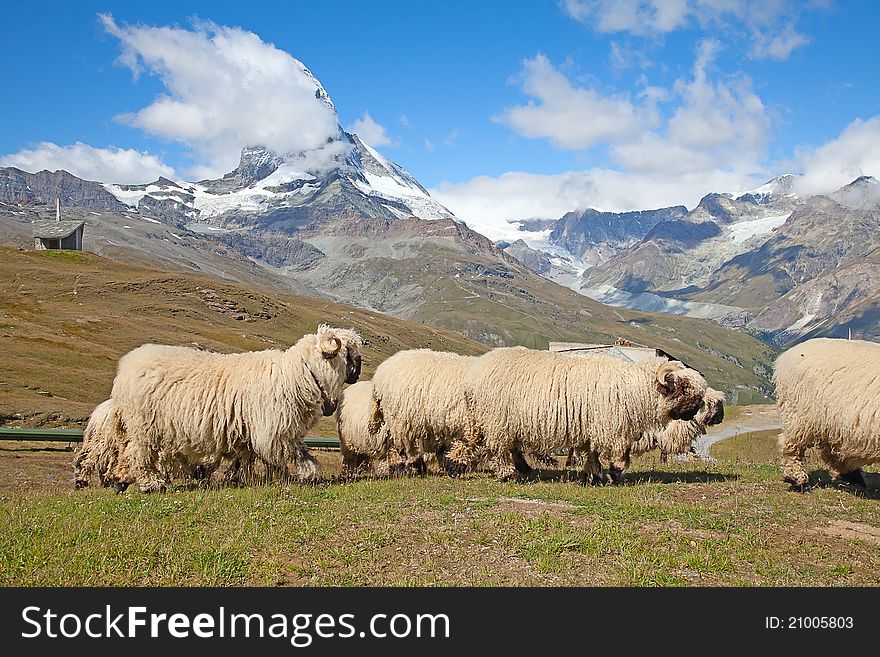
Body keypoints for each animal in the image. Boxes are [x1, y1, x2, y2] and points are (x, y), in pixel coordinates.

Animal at [111, 324, 362, 492]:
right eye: (349, 353)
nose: (358, 371)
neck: (298, 374)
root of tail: (125, 368)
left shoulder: (246, 430)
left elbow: (243, 457)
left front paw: (233, 478)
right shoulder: (273, 430)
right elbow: (297, 453)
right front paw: (311, 475)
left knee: (126, 452)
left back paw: (121, 481)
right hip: (145, 426)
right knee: (138, 454)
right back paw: (150, 484)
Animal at [454, 348, 708, 482]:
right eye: (684, 388)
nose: (696, 409)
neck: (633, 387)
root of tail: (472, 374)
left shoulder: (594, 427)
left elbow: (593, 452)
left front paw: (594, 475)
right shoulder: (609, 425)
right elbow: (619, 452)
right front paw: (614, 472)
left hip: (492, 420)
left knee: (490, 445)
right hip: (497, 420)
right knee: (498, 449)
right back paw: (509, 475)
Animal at [776, 338, 880, 486]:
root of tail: (786, 356)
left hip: (829, 423)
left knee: (830, 450)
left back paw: (852, 476)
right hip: (799, 413)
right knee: (790, 444)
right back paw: (795, 477)